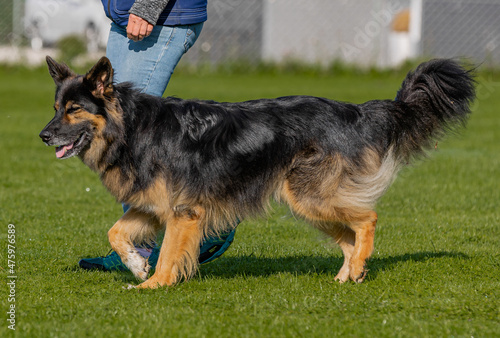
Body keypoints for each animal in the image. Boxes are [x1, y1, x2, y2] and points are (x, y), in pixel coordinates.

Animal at [41, 56, 474, 290]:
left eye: (74, 110)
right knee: (350, 238)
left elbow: (167, 255)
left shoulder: (183, 212)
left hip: (310, 197)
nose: (44, 135)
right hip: (308, 204)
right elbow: (115, 232)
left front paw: (153, 284)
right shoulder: (152, 207)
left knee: (367, 220)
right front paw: (136, 265)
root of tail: (356, 111)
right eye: (56, 107)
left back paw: (358, 265)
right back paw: (349, 275)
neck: (132, 129)